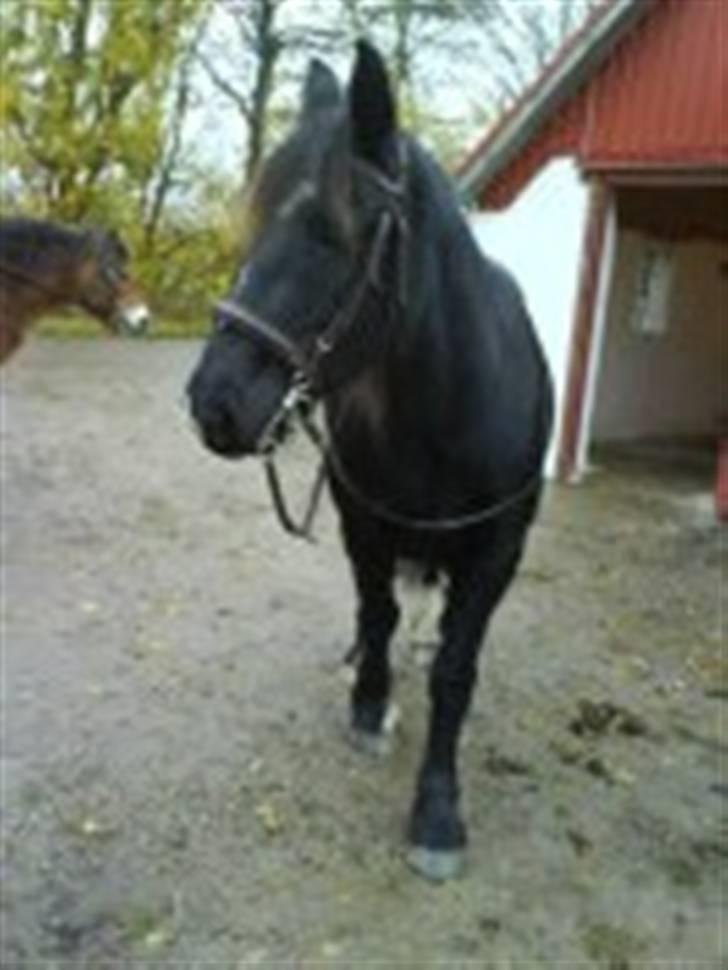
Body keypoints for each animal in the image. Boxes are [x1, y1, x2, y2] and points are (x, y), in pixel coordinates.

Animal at [187, 41, 553, 881]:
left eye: (332, 232)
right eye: (259, 224)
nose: (213, 403)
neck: (447, 412)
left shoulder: (498, 551)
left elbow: (456, 668)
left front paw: (438, 812)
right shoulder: (364, 525)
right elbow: (377, 611)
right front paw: (368, 701)